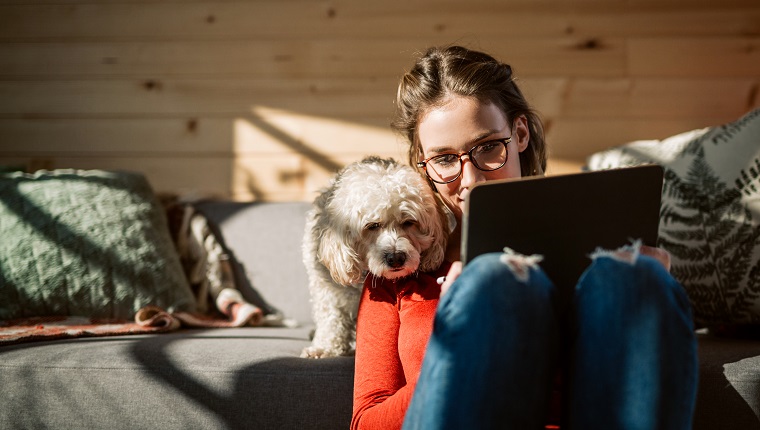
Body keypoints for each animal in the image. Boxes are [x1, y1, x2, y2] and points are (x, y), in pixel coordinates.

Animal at [302, 156, 448, 358]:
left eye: (409, 222)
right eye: (372, 225)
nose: (396, 258)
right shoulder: (327, 288)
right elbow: (331, 317)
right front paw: (325, 347)